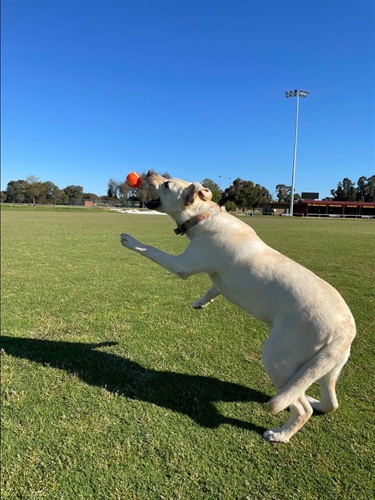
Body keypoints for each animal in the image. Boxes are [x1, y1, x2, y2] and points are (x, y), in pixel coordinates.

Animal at [120, 172, 356, 442]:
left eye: (168, 183)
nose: (148, 172)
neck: (205, 216)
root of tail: (345, 329)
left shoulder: (183, 264)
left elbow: (151, 250)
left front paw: (130, 240)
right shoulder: (216, 280)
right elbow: (213, 289)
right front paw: (200, 303)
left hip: (278, 358)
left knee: (301, 409)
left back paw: (280, 434)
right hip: (327, 366)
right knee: (328, 402)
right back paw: (313, 400)